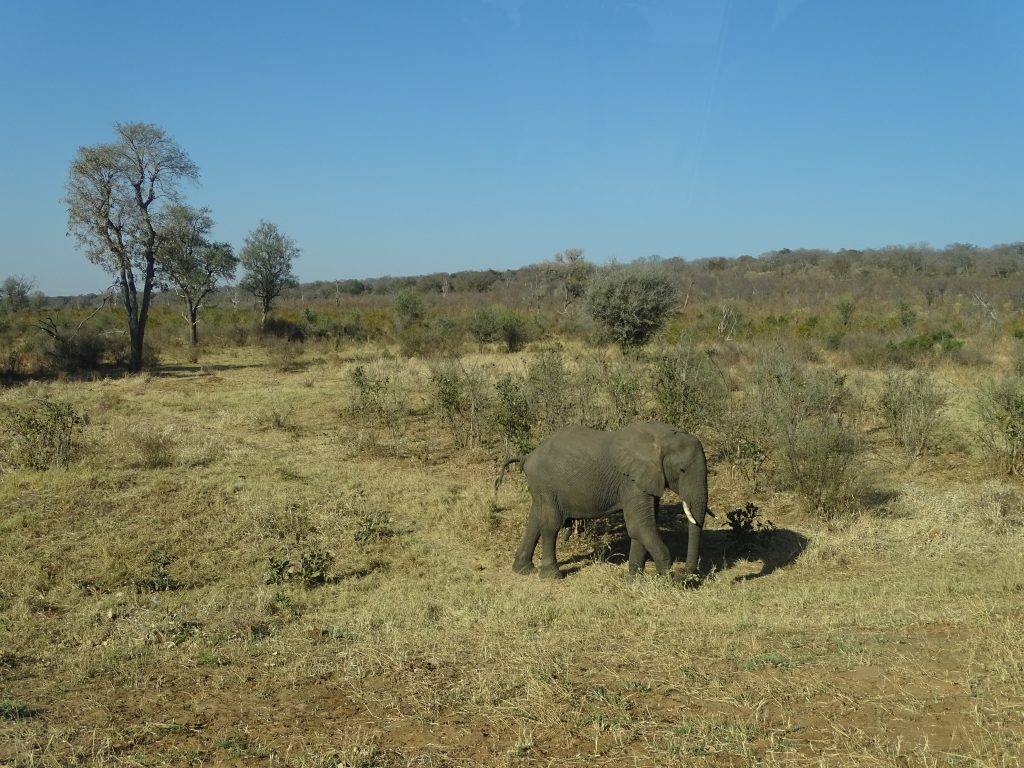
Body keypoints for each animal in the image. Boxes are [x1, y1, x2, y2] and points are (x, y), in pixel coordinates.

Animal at [495, 421, 709, 581]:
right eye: (681, 470)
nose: (685, 575)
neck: (661, 437)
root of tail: (527, 456)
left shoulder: (645, 480)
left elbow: (642, 526)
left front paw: (634, 580)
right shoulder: (630, 480)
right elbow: (640, 525)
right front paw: (667, 578)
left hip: (541, 487)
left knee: (535, 519)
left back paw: (523, 570)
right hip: (545, 484)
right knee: (550, 524)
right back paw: (552, 576)